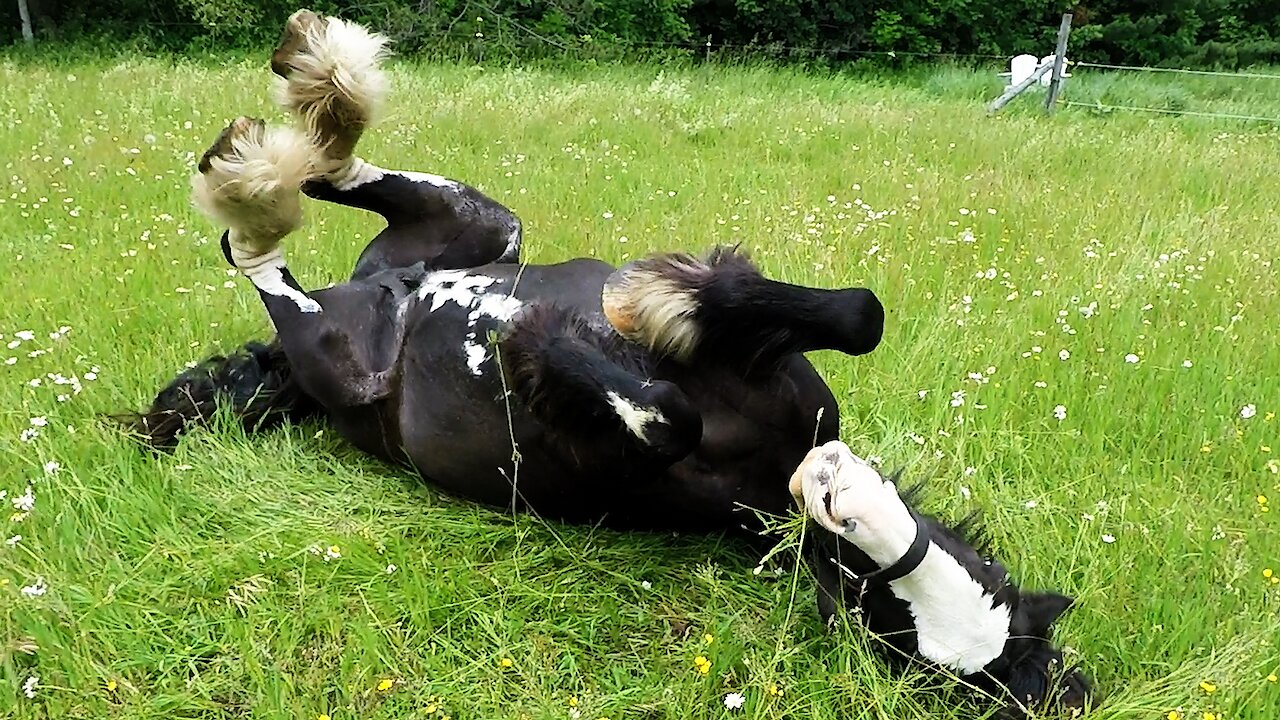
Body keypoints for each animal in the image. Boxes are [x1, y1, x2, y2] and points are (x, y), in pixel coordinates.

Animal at [124, 9, 1090, 712]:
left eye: (881, 606)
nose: (832, 483)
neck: (767, 454)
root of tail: (381, 292)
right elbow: (857, 313)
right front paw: (657, 300)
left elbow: (666, 415)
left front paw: (535, 343)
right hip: (486, 224)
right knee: (328, 176)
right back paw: (310, 96)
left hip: (344, 364)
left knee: (265, 255)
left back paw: (257, 176)